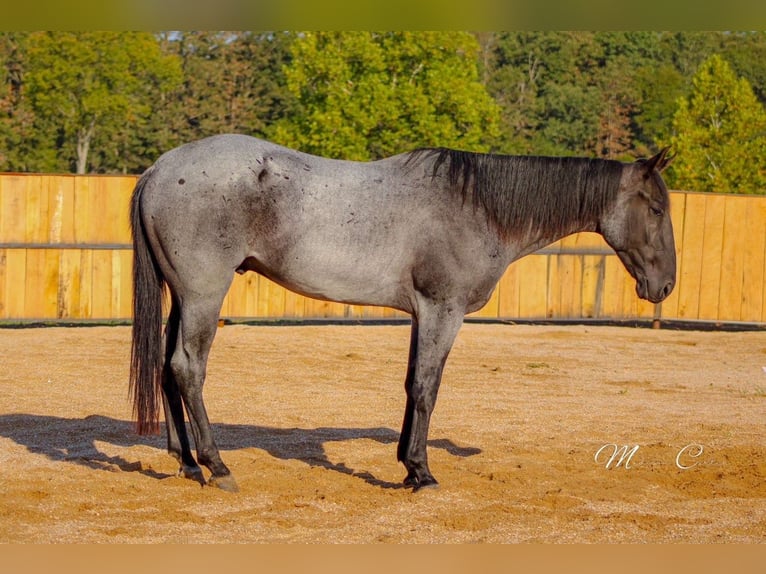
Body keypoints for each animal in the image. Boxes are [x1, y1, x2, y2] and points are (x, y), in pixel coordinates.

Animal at [129, 134, 676, 492]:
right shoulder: (442, 310)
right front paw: (422, 471)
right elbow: (427, 387)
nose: (665, 285)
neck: (475, 207)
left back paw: (187, 464)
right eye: (655, 209)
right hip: (204, 294)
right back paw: (217, 466)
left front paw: (408, 464)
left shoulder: (422, 314)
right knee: (188, 368)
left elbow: (413, 383)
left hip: (183, 296)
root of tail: (160, 170)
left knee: (167, 369)